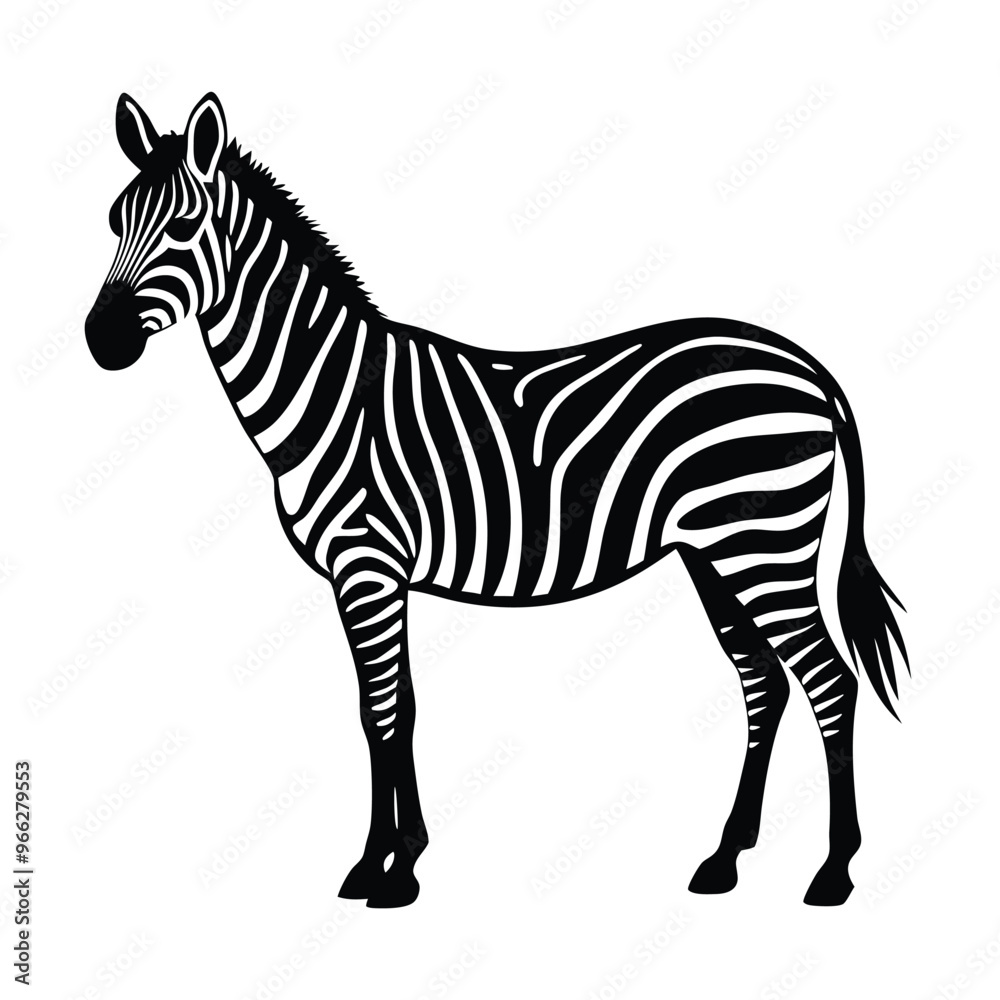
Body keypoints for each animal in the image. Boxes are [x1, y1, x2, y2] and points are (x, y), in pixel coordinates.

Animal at [85, 92, 908, 908]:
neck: (331, 393)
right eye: (115, 221)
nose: (100, 340)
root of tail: (805, 364)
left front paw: (391, 868)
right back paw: (723, 859)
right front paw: (388, 860)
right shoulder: (369, 575)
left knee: (829, 680)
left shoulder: (367, 563)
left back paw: (834, 871)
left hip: (762, 544)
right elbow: (387, 709)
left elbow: (385, 711)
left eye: (184, 226)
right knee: (763, 680)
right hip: (716, 553)